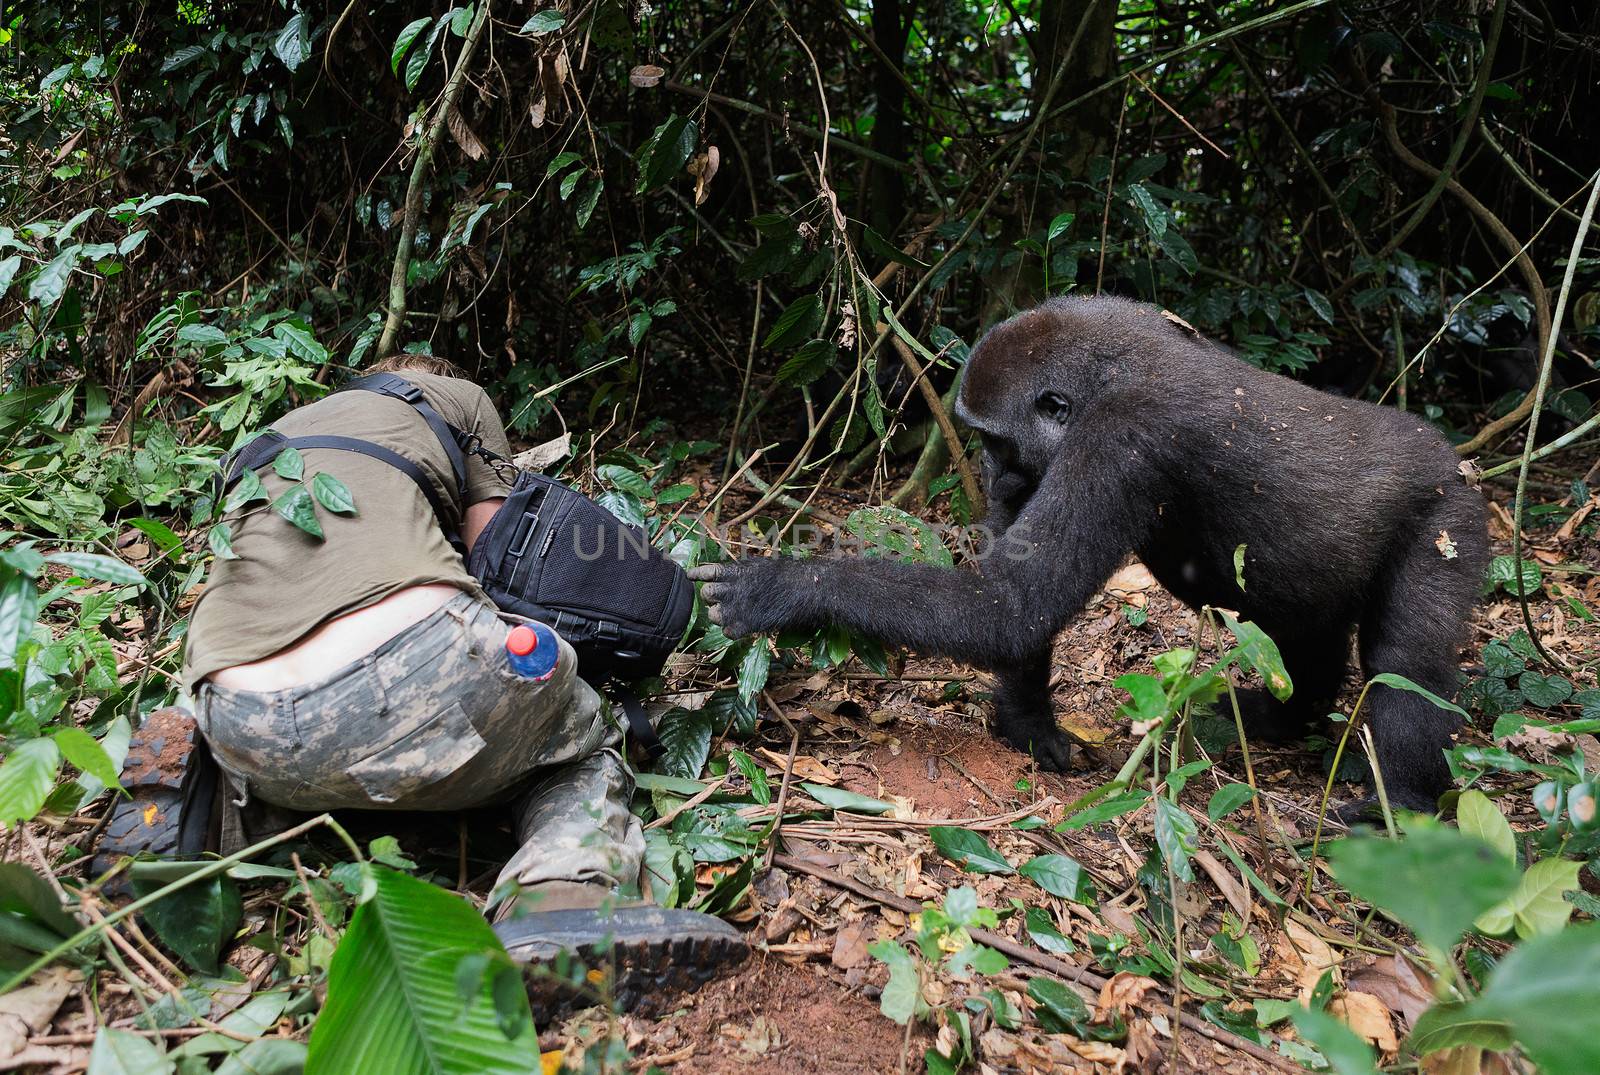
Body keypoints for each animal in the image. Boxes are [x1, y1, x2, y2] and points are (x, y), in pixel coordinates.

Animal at [694, 294, 1491, 815]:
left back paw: (1402, 803)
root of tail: (1458, 461)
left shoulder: (1121, 439)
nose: (993, 477)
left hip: (1448, 511)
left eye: (995, 439)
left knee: (1407, 664)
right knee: (1298, 627)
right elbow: (1015, 605)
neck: (1107, 373)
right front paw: (1029, 725)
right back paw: (1284, 716)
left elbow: (1010, 602)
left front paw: (786, 585)